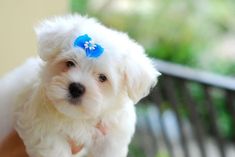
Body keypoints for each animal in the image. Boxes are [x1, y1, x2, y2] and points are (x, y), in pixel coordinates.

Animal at [0, 14, 160, 156]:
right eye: (70, 63)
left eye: (102, 77)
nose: (76, 88)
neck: (78, 118)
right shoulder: (38, 123)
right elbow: (53, 147)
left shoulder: (113, 133)